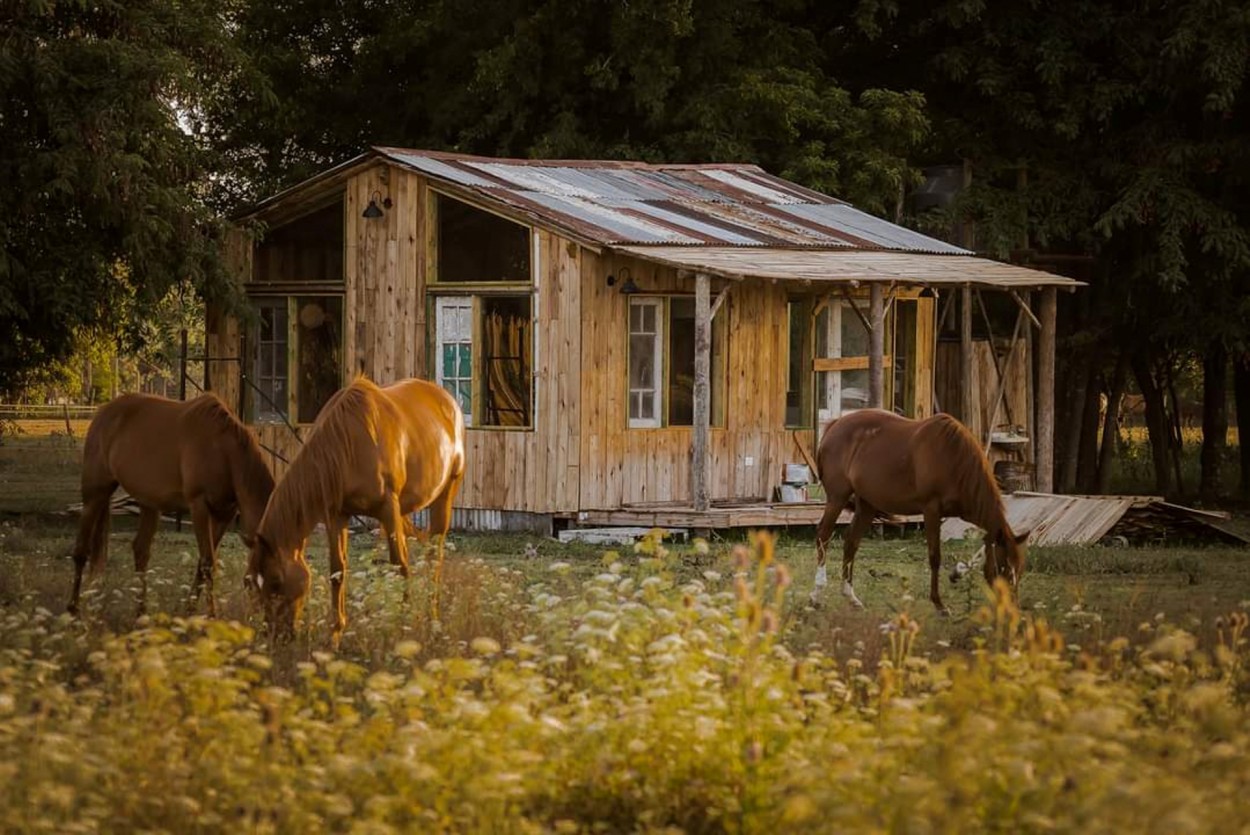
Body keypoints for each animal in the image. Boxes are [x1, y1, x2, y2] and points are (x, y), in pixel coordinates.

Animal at [69, 392, 275, 612]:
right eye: (254, 581)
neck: (223, 451)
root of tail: (103, 413)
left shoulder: (224, 514)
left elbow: (203, 562)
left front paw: (190, 610)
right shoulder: (199, 506)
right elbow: (208, 563)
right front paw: (211, 616)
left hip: (149, 504)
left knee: (141, 551)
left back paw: (141, 613)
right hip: (95, 494)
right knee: (81, 550)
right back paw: (73, 609)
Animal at [242, 375, 465, 645]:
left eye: (276, 581)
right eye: (250, 583)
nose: (275, 636)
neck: (348, 443)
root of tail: (447, 400)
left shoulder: (388, 509)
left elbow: (399, 564)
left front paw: (404, 627)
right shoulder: (337, 514)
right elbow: (337, 569)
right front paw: (335, 635)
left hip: (445, 494)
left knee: (435, 557)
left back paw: (433, 619)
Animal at [810, 410, 1025, 612]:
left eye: (1019, 569)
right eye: (1004, 568)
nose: (1011, 608)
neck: (954, 460)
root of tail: (835, 424)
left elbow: (982, 547)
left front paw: (958, 572)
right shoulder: (931, 511)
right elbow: (935, 557)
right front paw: (939, 604)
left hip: (867, 504)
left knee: (851, 543)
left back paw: (851, 597)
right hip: (837, 498)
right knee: (823, 535)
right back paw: (816, 595)